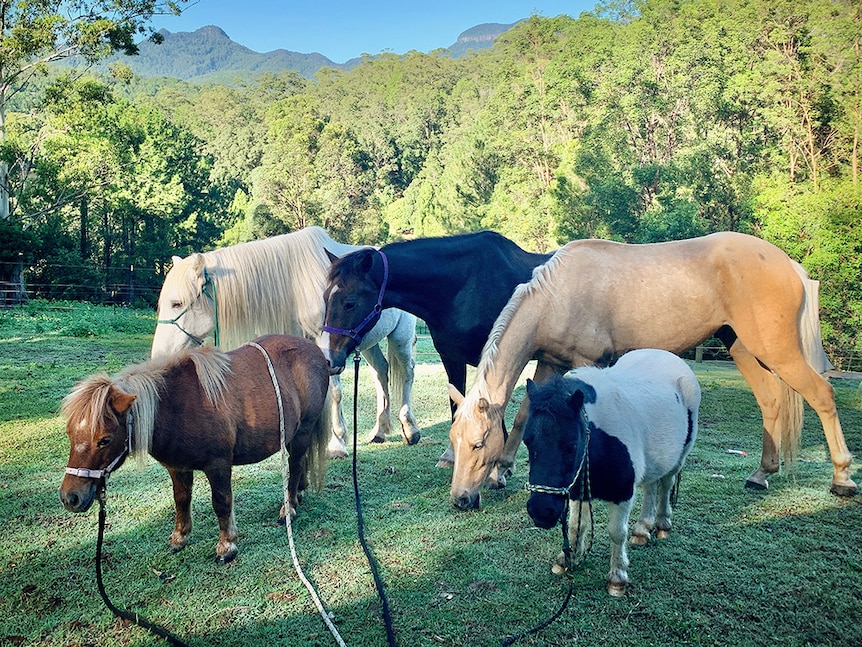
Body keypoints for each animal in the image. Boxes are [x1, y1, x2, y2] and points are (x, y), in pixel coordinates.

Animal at [59, 336, 332, 564]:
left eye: (104, 440)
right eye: (70, 433)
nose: (70, 498)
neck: (176, 406)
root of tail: (315, 350)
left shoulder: (218, 465)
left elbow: (221, 502)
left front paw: (227, 546)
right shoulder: (177, 467)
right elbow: (181, 500)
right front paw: (180, 537)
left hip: (303, 431)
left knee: (295, 465)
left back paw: (289, 507)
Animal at [152, 227, 422, 456]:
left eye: (177, 303)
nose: (159, 356)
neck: (297, 284)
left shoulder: (328, 348)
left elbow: (335, 392)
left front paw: (337, 443)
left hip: (400, 337)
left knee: (407, 373)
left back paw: (410, 429)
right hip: (367, 342)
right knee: (381, 372)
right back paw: (379, 430)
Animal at [448, 233, 852, 512]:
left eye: (478, 443)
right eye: (454, 439)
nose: (460, 499)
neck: (559, 294)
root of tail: (789, 264)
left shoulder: (589, 364)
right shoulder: (551, 363)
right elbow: (522, 416)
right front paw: (502, 471)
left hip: (777, 351)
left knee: (821, 395)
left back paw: (842, 476)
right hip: (743, 348)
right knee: (770, 402)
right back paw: (761, 474)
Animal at [524, 350, 704, 596]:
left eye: (571, 445)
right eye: (527, 442)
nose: (541, 512)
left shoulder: (623, 493)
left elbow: (617, 532)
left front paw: (617, 578)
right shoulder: (578, 490)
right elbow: (575, 526)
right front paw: (566, 559)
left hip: (679, 456)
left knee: (666, 485)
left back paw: (662, 524)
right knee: (651, 487)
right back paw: (642, 530)